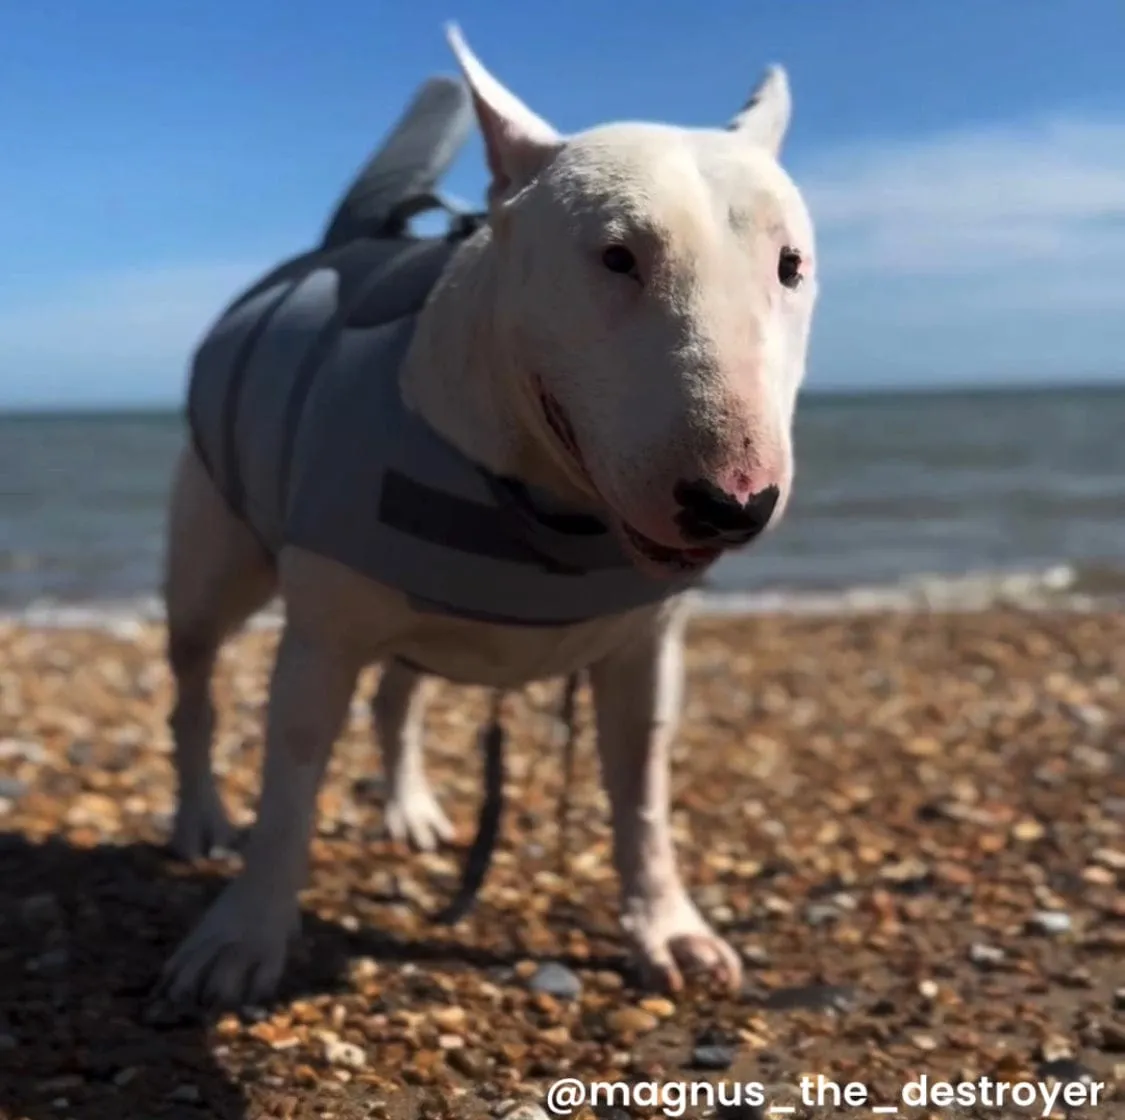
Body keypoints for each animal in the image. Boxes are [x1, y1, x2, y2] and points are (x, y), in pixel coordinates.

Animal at [156, 26, 819, 1012]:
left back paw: (410, 809)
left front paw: (665, 929)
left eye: (789, 265)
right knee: (195, 688)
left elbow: (642, 792)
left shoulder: (643, 652)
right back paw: (200, 815)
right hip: (212, 560)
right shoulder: (319, 641)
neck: (548, 502)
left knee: (397, 696)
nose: (731, 504)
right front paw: (242, 937)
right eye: (615, 256)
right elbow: (291, 783)